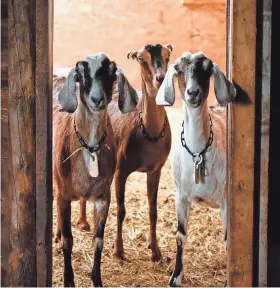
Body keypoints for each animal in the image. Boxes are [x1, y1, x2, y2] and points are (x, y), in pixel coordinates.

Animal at [52, 53, 138, 286]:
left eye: (111, 73)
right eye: (82, 73)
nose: (97, 99)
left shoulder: (103, 197)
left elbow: (98, 240)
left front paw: (96, 279)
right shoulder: (64, 194)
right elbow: (68, 240)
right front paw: (68, 280)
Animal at [79, 44, 173, 260]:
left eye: (167, 56)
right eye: (141, 58)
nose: (160, 77)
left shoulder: (156, 169)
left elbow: (153, 210)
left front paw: (155, 251)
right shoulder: (121, 169)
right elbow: (121, 210)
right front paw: (118, 251)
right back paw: (82, 223)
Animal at [155, 51, 236, 286]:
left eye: (207, 69)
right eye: (178, 69)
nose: (193, 92)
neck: (199, 152)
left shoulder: (226, 202)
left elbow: (228, 241)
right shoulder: (181, 196)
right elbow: (181, 236)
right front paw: (175, 277)